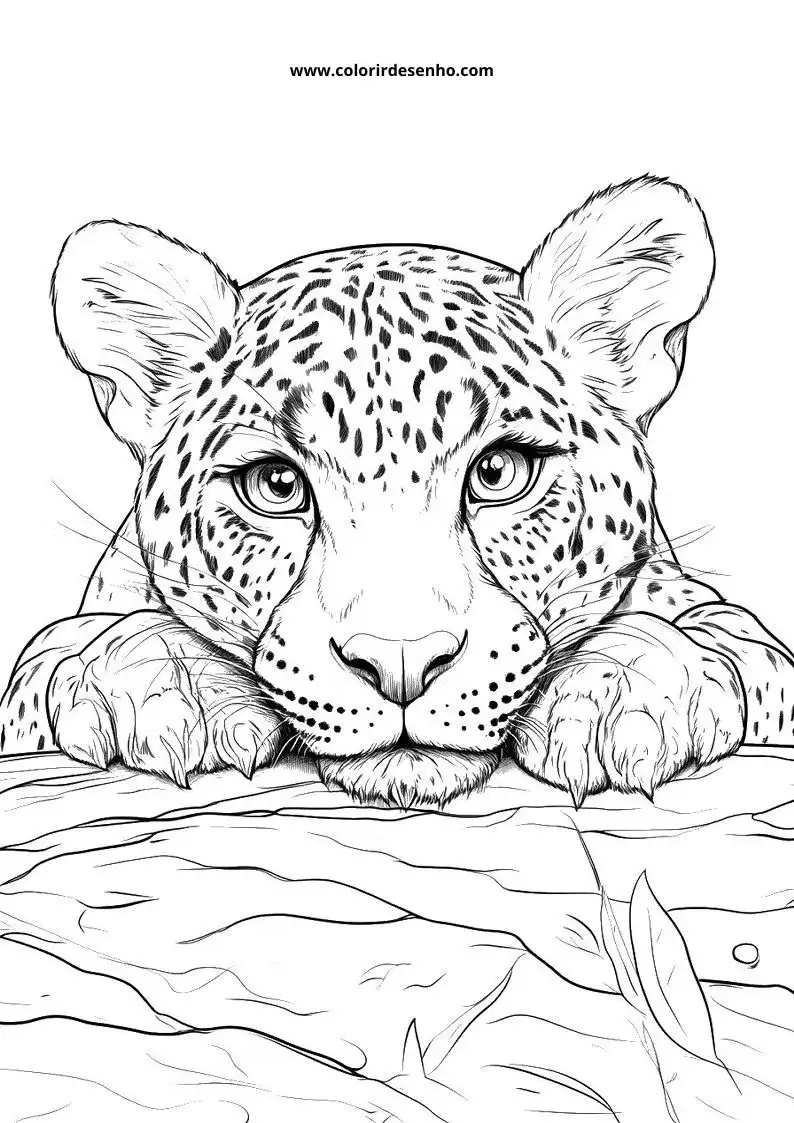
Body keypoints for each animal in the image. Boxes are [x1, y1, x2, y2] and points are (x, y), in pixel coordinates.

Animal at [2, 175, 793, 809]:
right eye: (276, 484)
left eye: (500, 471)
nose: (402, 663)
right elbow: (58, 650)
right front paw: (160, 687)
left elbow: (730, 639)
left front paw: (621, 693)